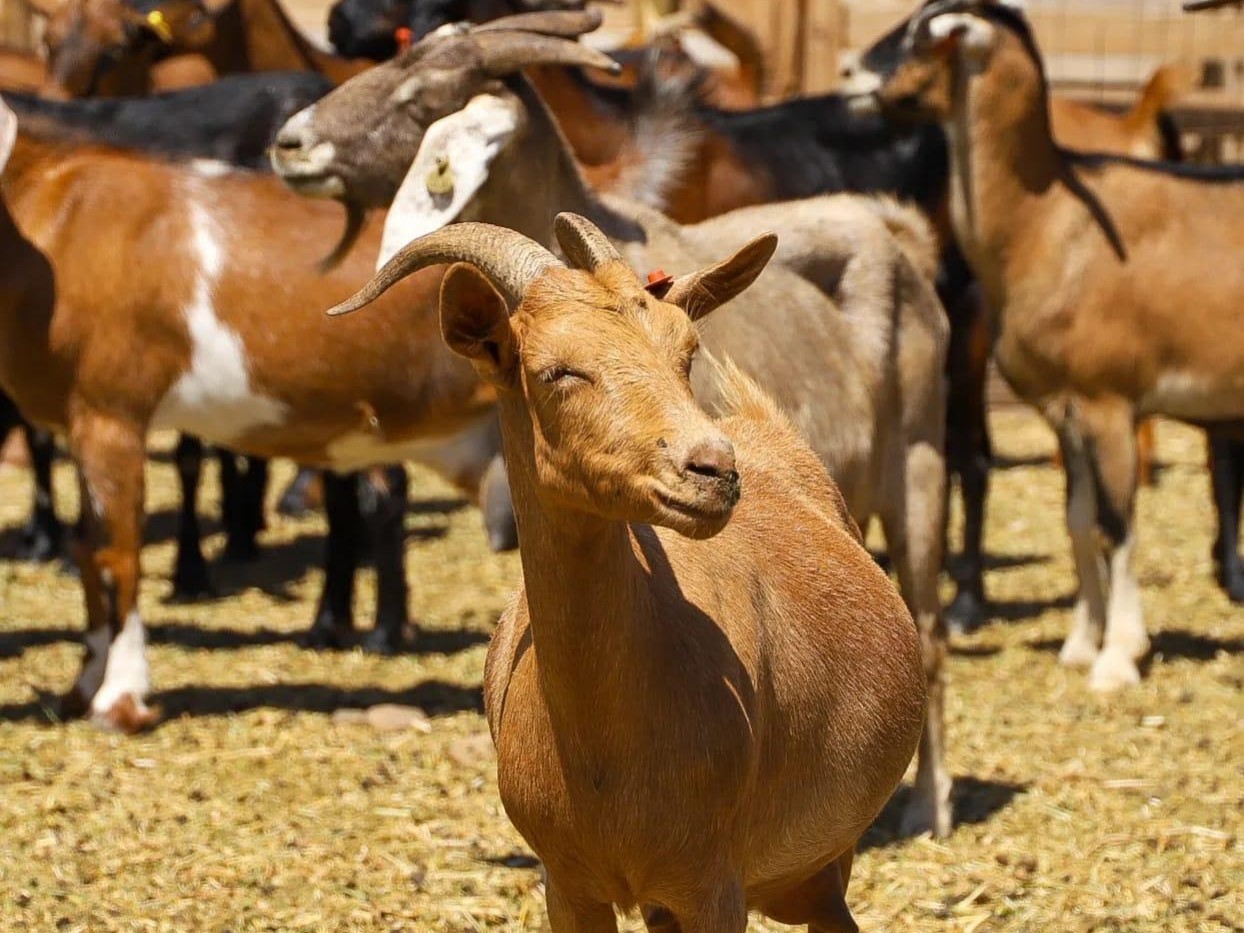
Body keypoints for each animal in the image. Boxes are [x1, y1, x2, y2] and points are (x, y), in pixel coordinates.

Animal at [274, 9, 950, 840]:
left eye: (425, 94)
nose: (291, 142)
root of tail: (898, 231)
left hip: (921, 465)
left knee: (930, 631)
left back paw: (928, 803)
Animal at [325, 215, 930, 933]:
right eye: (556, 370)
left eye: (687, 352)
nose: (712, 469)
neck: (602, 751)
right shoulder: (569, 884)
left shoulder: (712, 885)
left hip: (825, 860)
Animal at [860, 0, 1244, 686]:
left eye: (922, 38)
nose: (856, 77)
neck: (1050, 225)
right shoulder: (1065, 412)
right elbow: (1078, 522)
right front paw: (1082, 643)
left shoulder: (1110, 401)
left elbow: (1118, 526)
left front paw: (1119, 658)